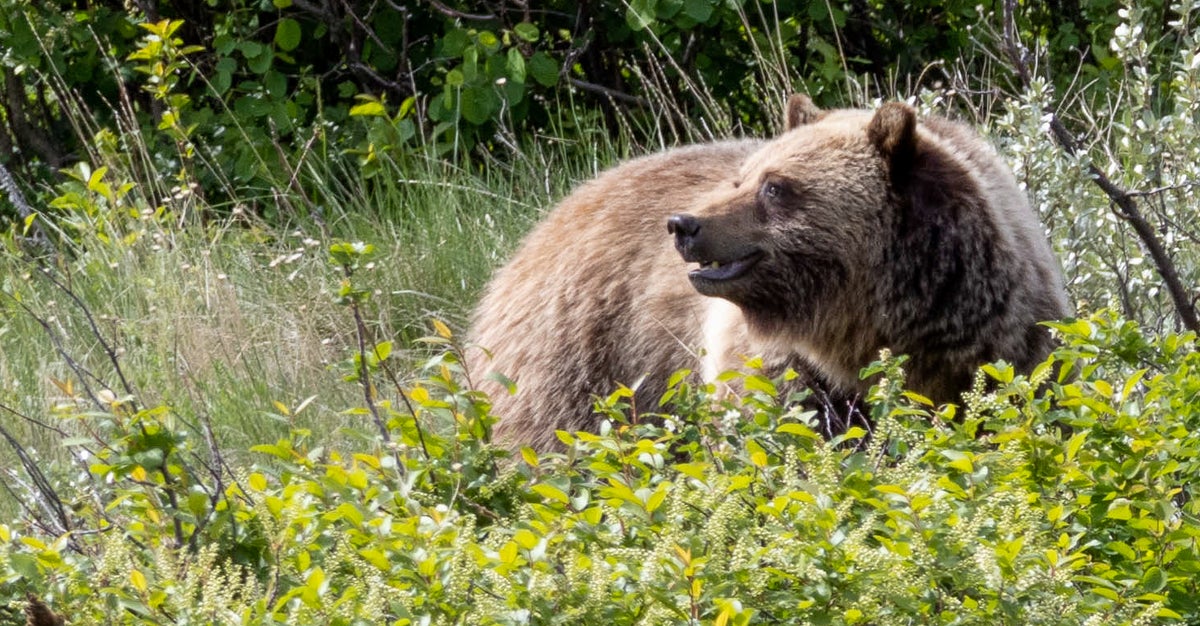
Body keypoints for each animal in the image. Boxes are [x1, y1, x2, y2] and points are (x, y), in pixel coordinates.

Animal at [467, 95, 1070, 452]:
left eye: (775, 187)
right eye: (743, 178)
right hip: (584, 350)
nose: (683, 224)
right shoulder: (782, 364)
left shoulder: (1004, 345)